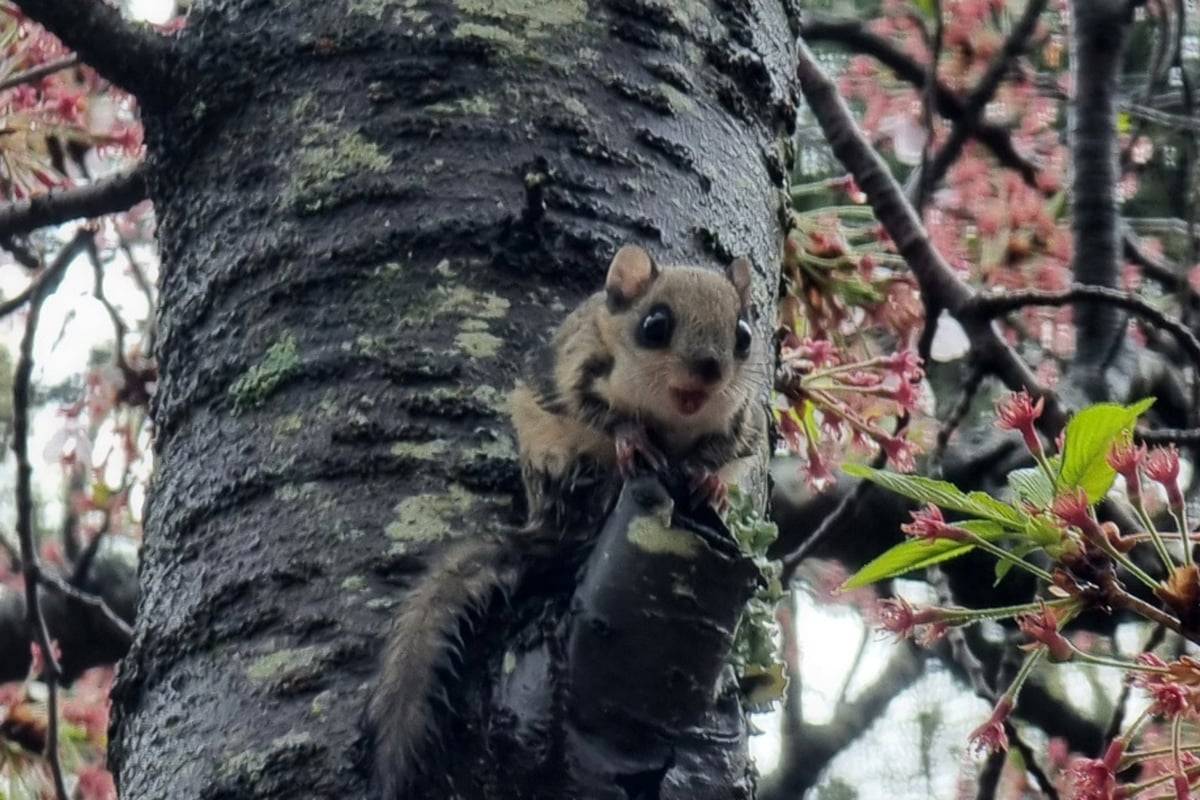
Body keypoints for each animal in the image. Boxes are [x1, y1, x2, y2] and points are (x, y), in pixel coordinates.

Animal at [360, 245, 768, 800]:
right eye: (655, 325)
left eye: (744, 335)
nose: (708, 370)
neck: (672, 419)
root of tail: (549, 525)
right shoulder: (580, 372)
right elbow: (603, 415)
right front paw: (630, 439)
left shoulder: (742, 421)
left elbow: (721, 450)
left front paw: (710, 482)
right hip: (564, 467)